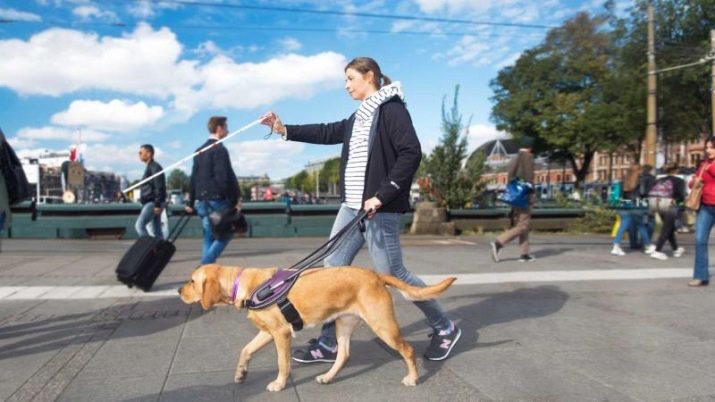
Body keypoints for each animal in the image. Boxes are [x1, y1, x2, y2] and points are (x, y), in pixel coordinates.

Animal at [180, 264, 458, 392]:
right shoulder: (267, 333)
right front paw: (241, 373)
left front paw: (279, 384)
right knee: (344, 354)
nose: (179, 291)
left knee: (408, 350)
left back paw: (413, 378)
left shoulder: (281, 335)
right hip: (343, 324)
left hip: (384, 326)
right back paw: (328, 376)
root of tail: (375, 275)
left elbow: (282, 364)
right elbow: (245, 350)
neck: (247, 285)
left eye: (192, 281)